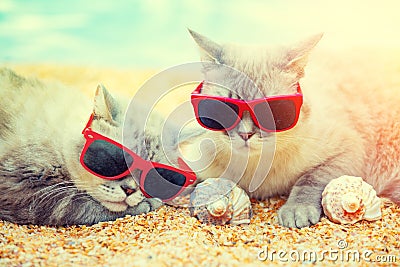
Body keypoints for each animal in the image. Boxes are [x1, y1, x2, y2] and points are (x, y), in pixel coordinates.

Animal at [0, 69, 163, 226]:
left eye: (153, 177)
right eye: (114, 160)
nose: (130, 190)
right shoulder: (24, 189)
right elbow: (85, 206)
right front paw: (150, 203)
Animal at [180, 30, 400, 229]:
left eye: (271, 110)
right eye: (226, 108)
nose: (245, 134)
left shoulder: (349, 152)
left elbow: (310, 179)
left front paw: (296, 211)